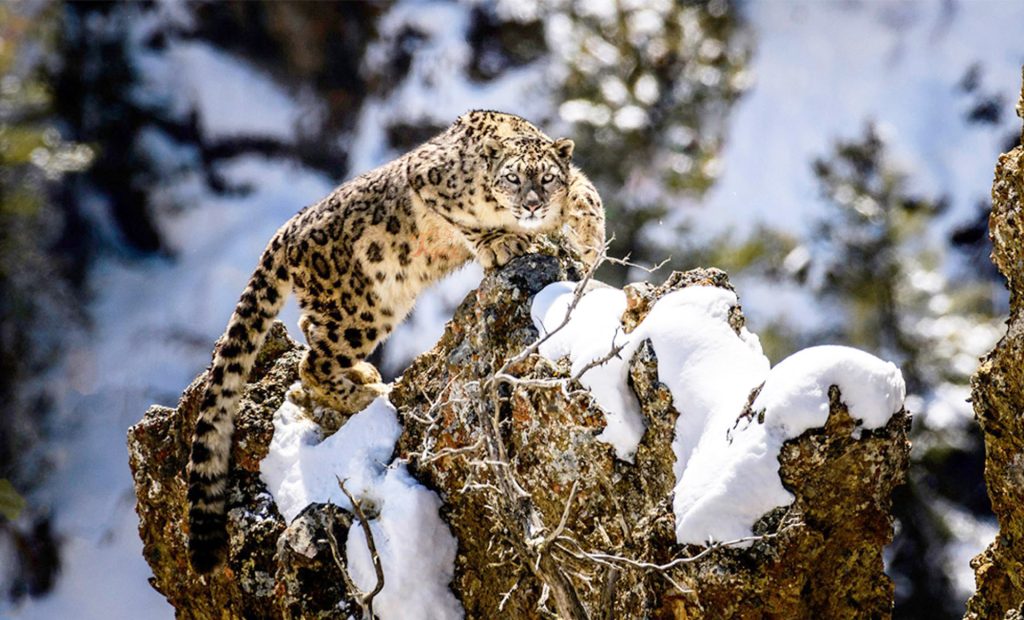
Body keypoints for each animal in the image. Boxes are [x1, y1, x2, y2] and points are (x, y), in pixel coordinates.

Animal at [186, 110, 605, 573]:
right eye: (513, 177)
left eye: (547, 177)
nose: (531, 204)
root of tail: (290, 226)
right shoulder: (428, 180)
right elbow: (471, 222)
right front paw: (501, 242)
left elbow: (586, 191)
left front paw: (589, 241)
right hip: (362, 308)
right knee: (312, 364)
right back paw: (368, 395)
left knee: (311, 334)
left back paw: (364, 374)